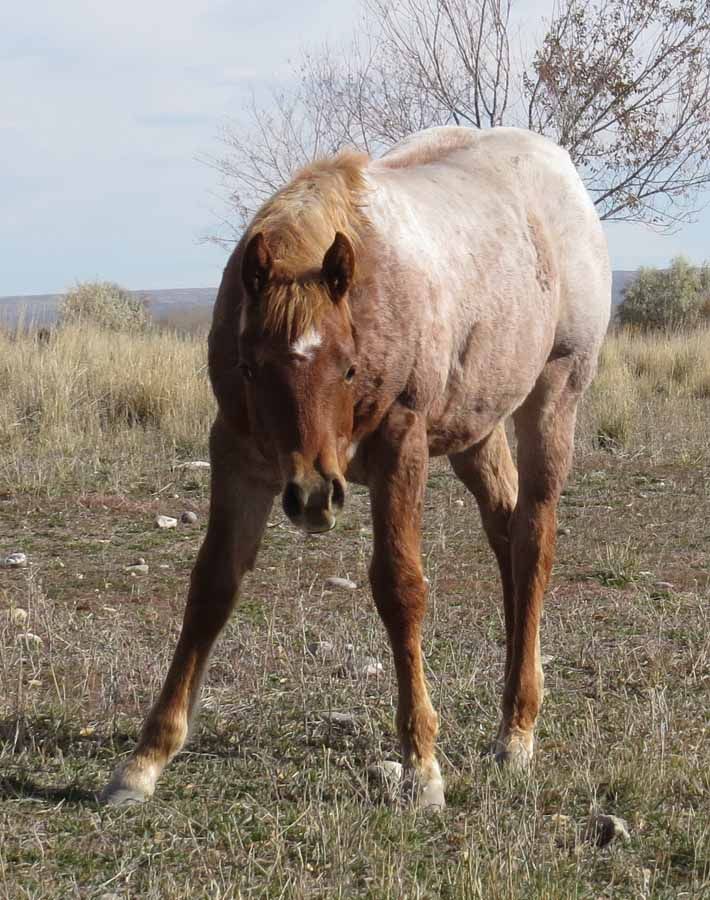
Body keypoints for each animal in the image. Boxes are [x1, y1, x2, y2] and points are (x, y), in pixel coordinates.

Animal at [101, 126, 611, 809]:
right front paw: (144, 761)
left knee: (533, 539)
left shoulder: (402, 446)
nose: (314, 495)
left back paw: (517, 734)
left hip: (554, 395)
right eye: (249, 368)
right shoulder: (237, 451)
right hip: (477, 430)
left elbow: (400, 588)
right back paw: (513, 710)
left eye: (347, 367)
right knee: (506, 535)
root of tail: (558, 170)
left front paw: (422, 765)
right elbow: (211, 586)